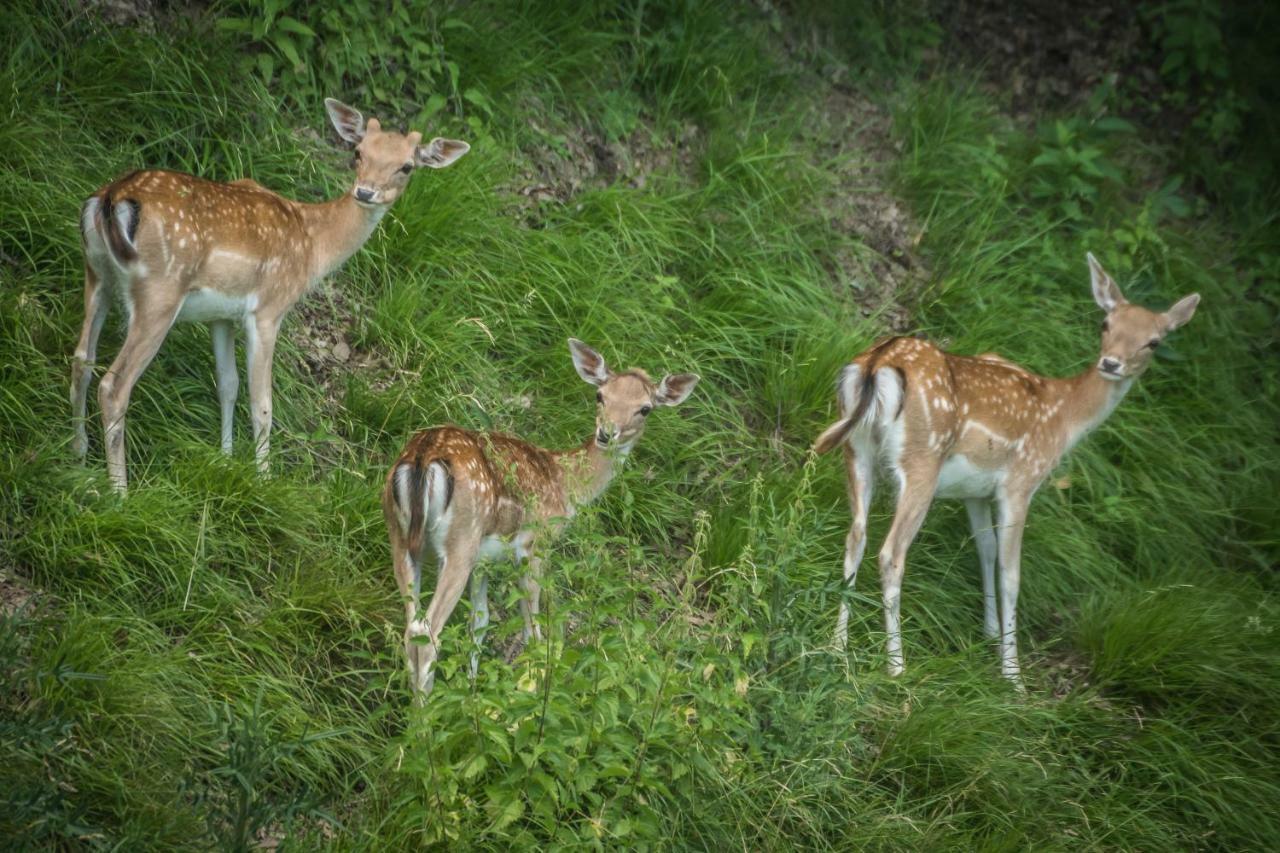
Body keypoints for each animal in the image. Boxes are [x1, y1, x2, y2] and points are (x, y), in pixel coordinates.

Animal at [71, 97, 471, 491]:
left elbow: (228, 384)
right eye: (358, 152)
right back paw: (119, 491)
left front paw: (225, 459)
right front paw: (263, 479)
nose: (365, 192)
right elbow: (262, 402)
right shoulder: (268, 309)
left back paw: (79, 457)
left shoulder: (221, 314)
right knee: (113, 385)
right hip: (159, 290)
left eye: (406, 166)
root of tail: (110, 198)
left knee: (81, 360)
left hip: (97, 273)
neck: (312, 247)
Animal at [378, 338, 701, 696]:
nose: (607, 433)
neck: (566, 485)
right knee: (427, 631)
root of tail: (423, 457)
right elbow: (533, 628)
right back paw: (426, 711)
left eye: (645, 408)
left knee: (411, 627)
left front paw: (473, 690)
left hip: (400, 535)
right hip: (461, 539)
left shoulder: (484, 560)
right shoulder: (536, 542)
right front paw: (533, 687)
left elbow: (480, 621)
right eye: (600, 395)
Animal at [814, 252, 1192, 686]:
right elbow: (1011, 572)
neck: (1063, 417)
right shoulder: (1020, 481)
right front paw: (1013, 674)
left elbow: (987, 550)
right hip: (922, 460)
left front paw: (990, 635)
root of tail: (878, 364)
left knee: (854, 537)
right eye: (1106, 323)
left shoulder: (975, 491)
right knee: (891, 553)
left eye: (1153, 341)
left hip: (854, 448)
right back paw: (897, 665)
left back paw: (836, 646)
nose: (1111, 363)